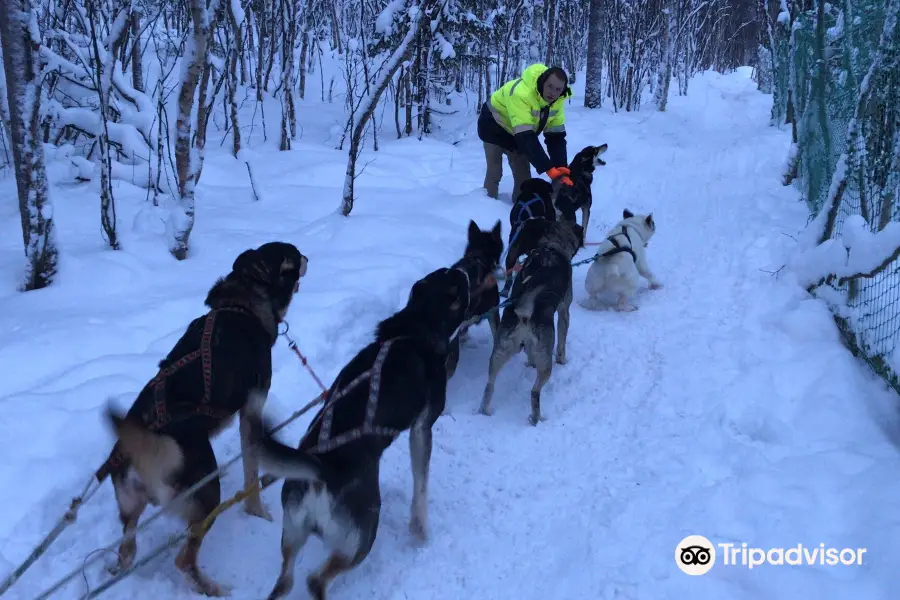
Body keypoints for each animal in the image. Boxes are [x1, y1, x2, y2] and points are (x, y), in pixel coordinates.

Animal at [93, 241, 308, 596]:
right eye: (290, 254)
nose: (306, 257)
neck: (240, 305)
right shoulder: (251, 412)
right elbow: (251, 475)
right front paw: (258, 511)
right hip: (208, 497)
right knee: (184, 560)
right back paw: (213, 588)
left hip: (132, 513)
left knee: (127, 552)